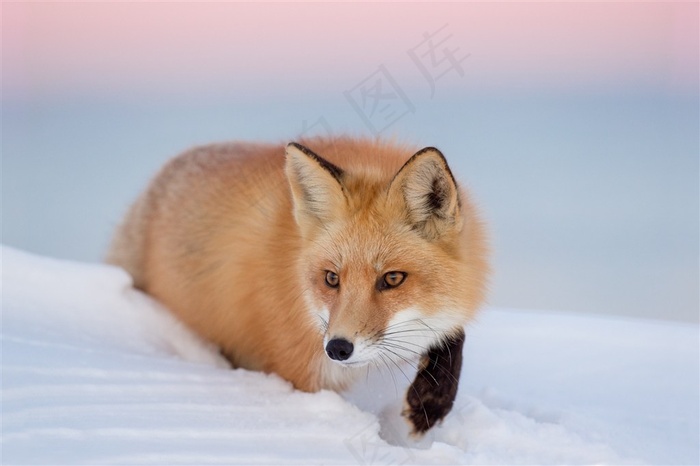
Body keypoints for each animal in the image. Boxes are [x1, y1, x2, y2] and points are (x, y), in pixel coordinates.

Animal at [106, 137, 490, 436]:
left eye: (393, 279)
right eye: (331, 278)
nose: (337, 348)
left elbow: (453, 333)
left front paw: (430, 403)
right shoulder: (300, 369)